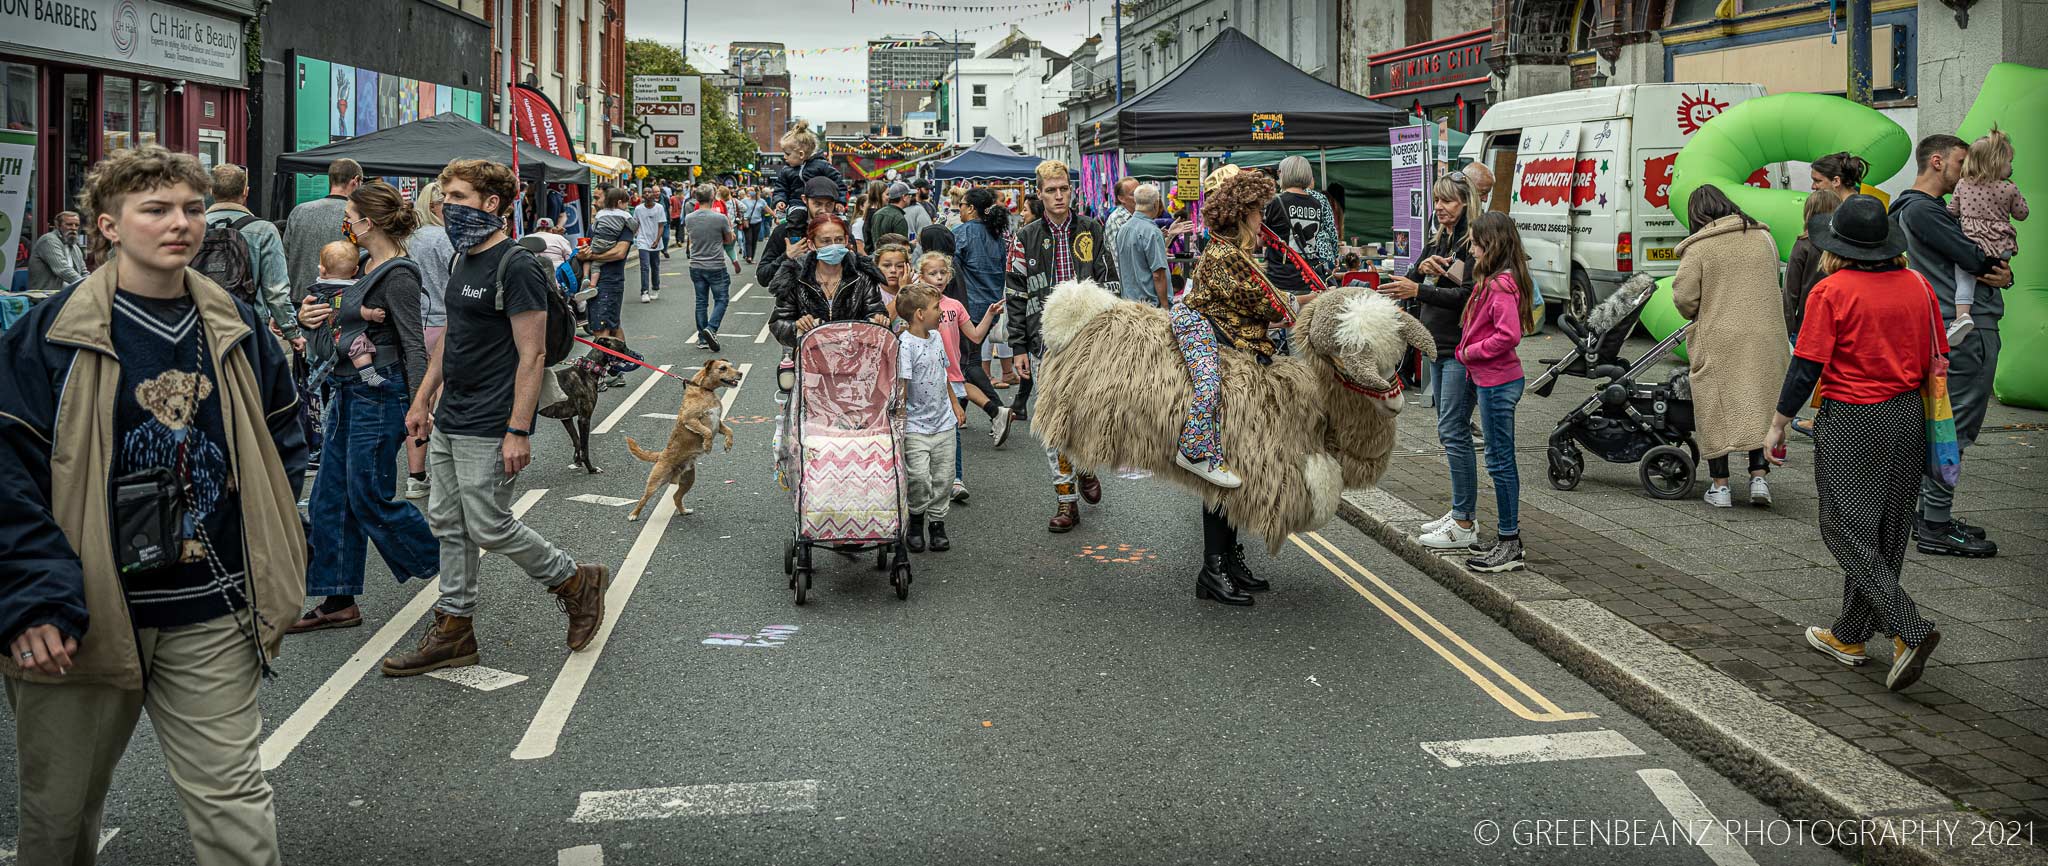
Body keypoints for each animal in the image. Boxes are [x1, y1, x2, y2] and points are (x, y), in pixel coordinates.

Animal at [540, 335, 626, 479]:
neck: (588, 370)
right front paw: (591, 469)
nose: (638, 357)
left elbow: (577, 441)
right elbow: (585, 447)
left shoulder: (566, 418)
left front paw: (577, 462)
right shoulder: (584, 419)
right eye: (623, 346)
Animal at [630, 360, 753, 522]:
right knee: (643, 499)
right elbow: (707, 432)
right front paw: (707, 446)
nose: (740, 374)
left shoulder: (718, 423)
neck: (705, 390)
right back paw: (634, 514)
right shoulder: (691, 419)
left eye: (731, 366)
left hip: (688, 480)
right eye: (723, 368)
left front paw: (728, 444)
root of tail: (661, 455)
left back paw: (683, 511)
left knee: (676, 496)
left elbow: (729, 430)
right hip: (656, 482)